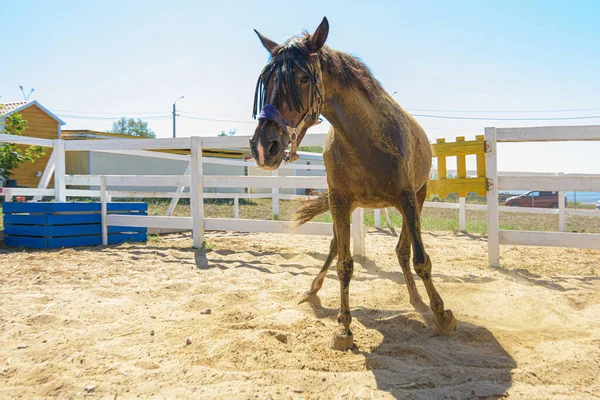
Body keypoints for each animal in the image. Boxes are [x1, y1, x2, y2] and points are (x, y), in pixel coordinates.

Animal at [248, 17, 454, 348]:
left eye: (303, 78)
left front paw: (441, 314)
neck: (363, 137)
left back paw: (416, 298)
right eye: (265, 82)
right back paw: (313, 290)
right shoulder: (339, 201)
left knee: (404, 251)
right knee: (338, 247)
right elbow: (344, 263)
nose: (264, 147)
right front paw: (344, 327)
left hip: (417, 197)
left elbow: (421, 258)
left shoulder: (408, 198)